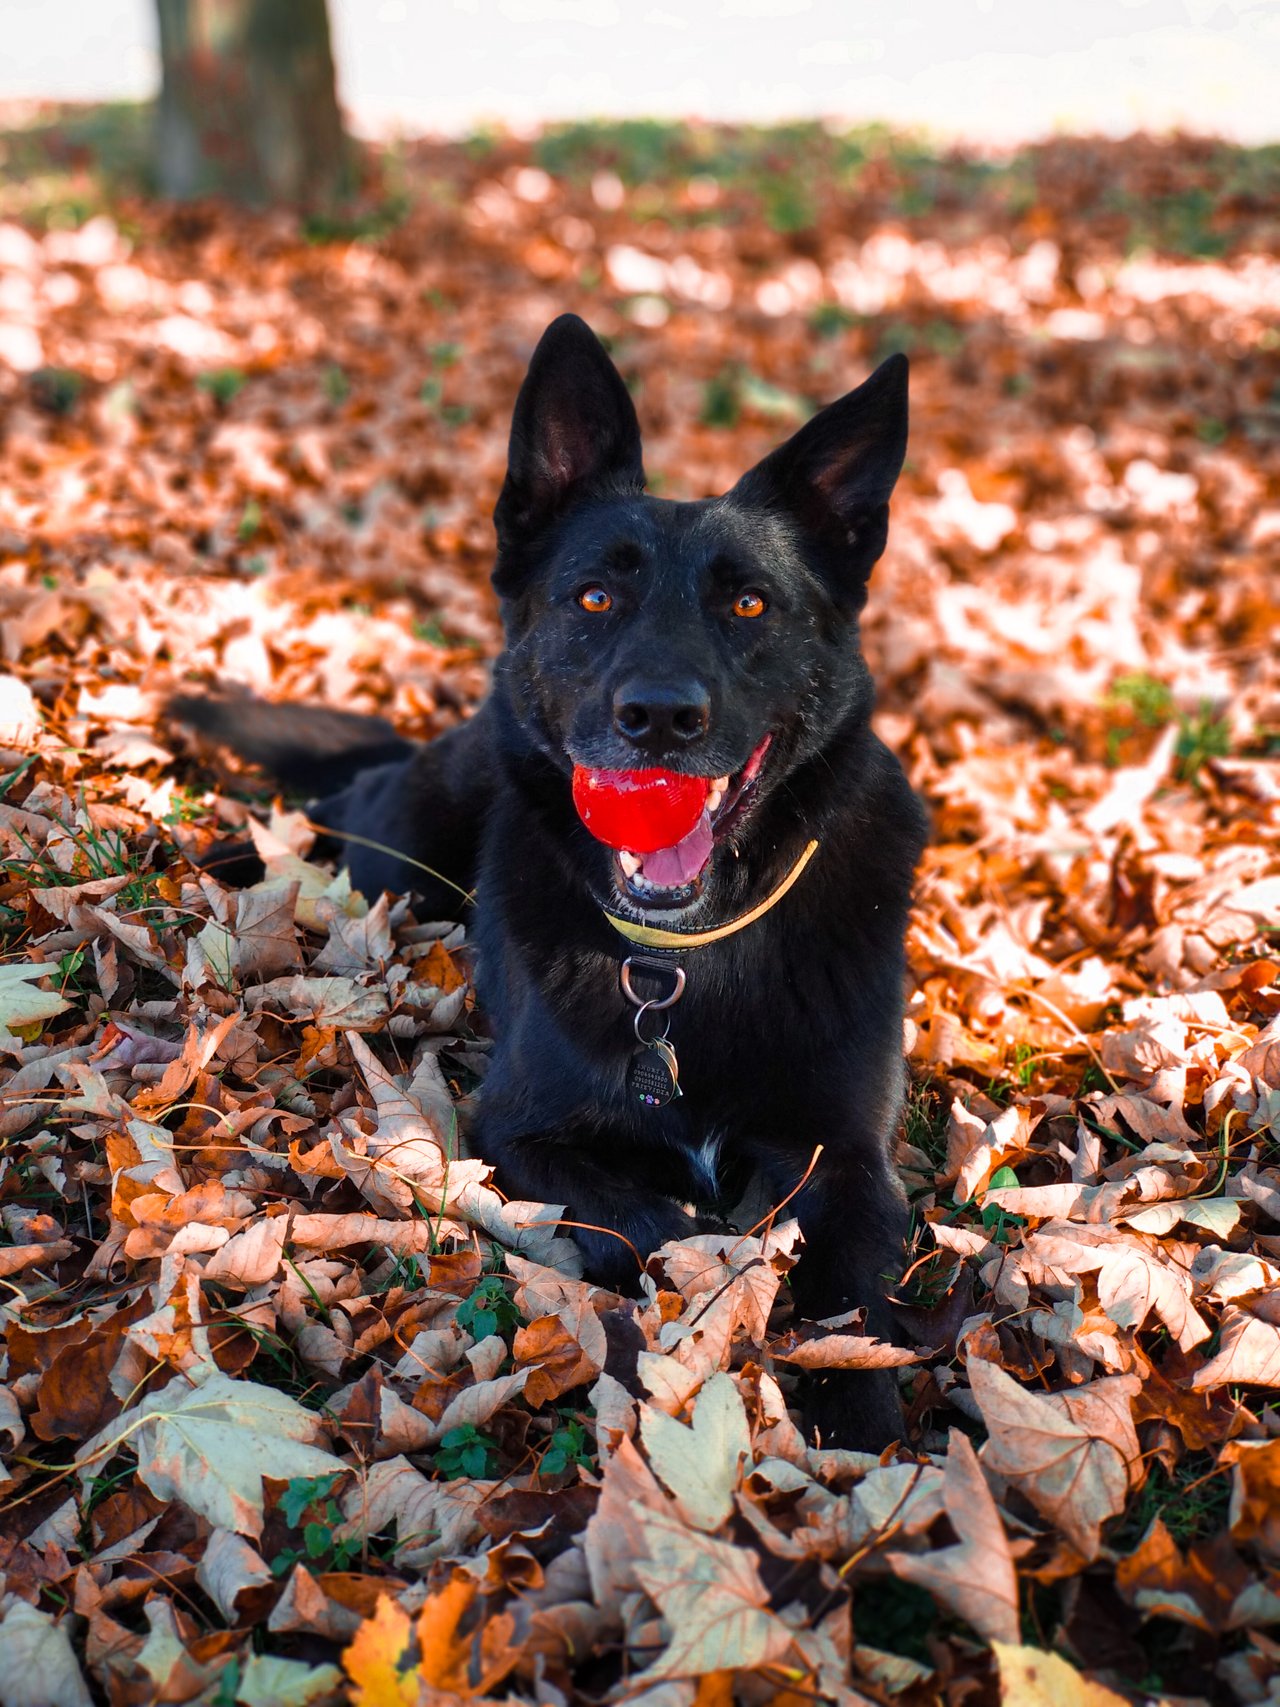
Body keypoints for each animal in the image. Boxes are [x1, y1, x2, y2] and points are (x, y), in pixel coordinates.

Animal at [175, 314, 928, 1447]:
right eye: (595, 596)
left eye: (750, 604)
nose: (658, 718)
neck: (684, 960)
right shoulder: (520, 1132)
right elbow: (651, 1221)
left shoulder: (845, 1158)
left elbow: (860, 1314)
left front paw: (872, 1450)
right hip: (403, 845)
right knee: (335, 816)